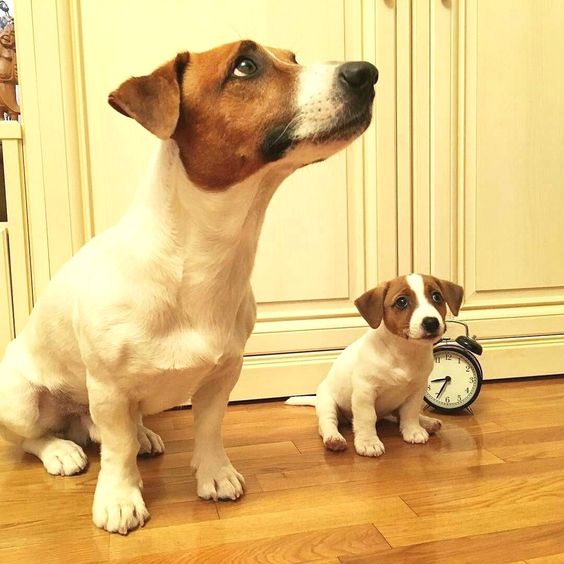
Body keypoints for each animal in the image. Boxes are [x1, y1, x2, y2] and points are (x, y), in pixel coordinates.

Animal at [286, 276, 462, 456]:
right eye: (401, 301)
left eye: (436, 297)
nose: (431, 322)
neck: (404, 352)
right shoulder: (365, 392)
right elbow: (367, 418)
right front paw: (368, 442)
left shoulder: (417, 390)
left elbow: (410, 413)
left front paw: (413, 430)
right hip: (328, 403)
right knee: (328, 423)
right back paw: (334, 439)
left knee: (397, 415)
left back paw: (427, 422)